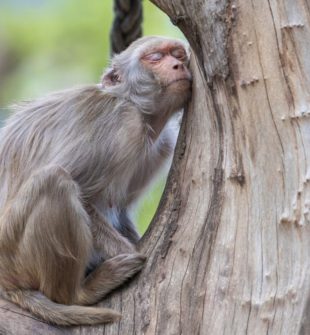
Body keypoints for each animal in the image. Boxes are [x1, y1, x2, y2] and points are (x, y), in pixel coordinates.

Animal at [0, 35, 191, 326]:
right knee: (54, 180)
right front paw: (133, 252)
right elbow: (84, 194)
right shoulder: (121, 124)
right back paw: (78, 294)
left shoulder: (161, 145)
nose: (178, 65)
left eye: (178, 54)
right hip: (12, 251)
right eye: (155, 58)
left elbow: (119, 209)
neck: (138, 109)